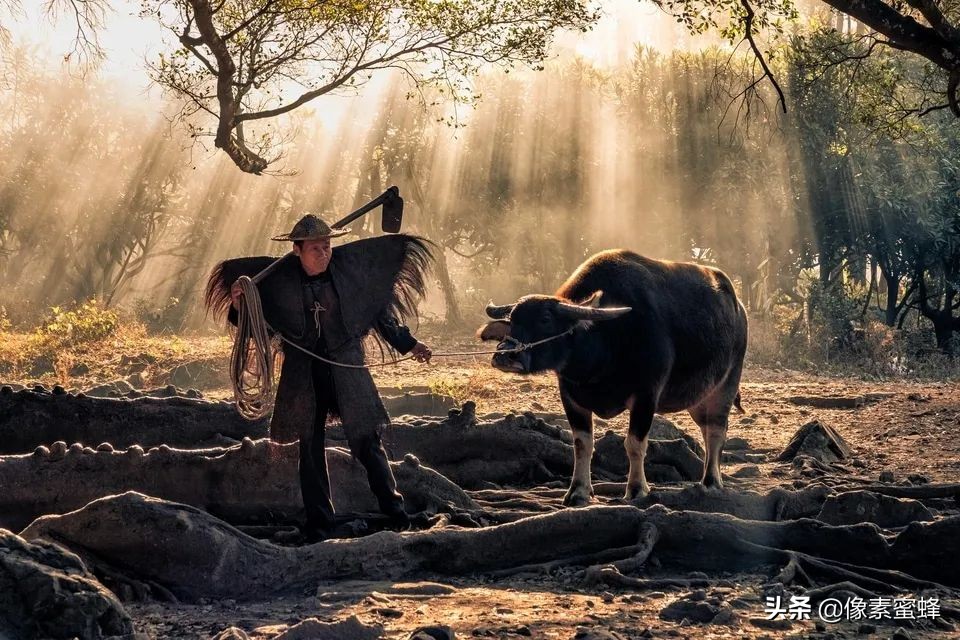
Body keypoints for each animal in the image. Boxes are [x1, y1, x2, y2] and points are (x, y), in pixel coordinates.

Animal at [480, 250, 752, 504]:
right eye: (513, 320)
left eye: (545, 319)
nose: (504, 356)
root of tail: (739, 308)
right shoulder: (570, 395)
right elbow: (582, 444)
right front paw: (578, 491)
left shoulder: (646, 396)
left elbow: (634, 444)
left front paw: (636, 489)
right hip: (698, 398)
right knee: (706, 429)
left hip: (726, 385)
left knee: (716, 431)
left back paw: (711, 481)